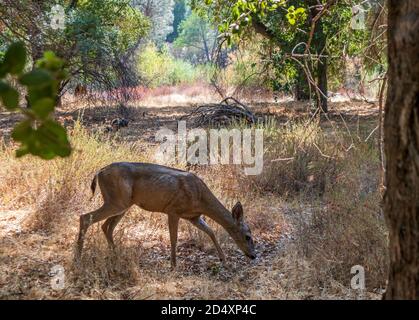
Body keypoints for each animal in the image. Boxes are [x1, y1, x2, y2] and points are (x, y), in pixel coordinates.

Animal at [77, 161, 258, 266]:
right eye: (248, 236)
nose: (253, 256)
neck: (200, 198)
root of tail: (99, 172)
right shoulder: (173, 210)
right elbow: (174, 238)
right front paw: (173, 264)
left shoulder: (193, 217)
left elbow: (211, 231)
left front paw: (223, 259)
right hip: (117, 200)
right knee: (85, 217)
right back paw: (78, 257)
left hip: (123, 204)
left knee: (106, 226)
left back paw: (116, 255)